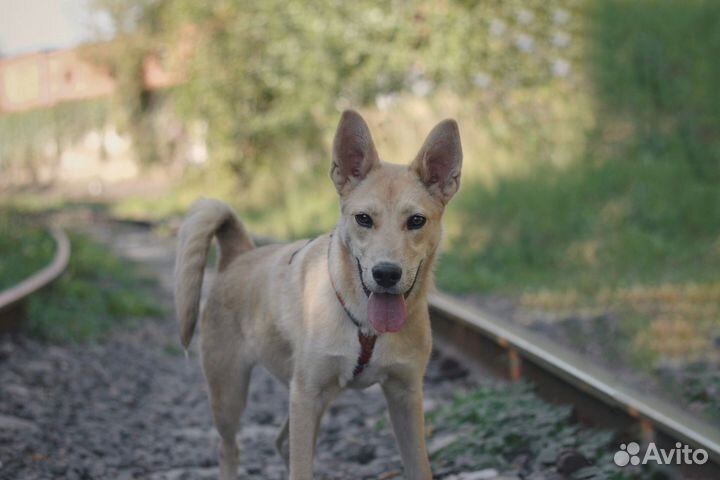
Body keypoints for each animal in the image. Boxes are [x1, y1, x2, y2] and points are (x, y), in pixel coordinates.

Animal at [177, 110, 464, 478]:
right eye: (363, 218)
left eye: (416, 220)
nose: (386, 273)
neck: (365, 326)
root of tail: (238, 254)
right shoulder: (306, 394)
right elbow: (299, 468)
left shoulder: (406, 396)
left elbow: (420, 468)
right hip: (230, 393)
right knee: (229, 448)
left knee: (281, 442)